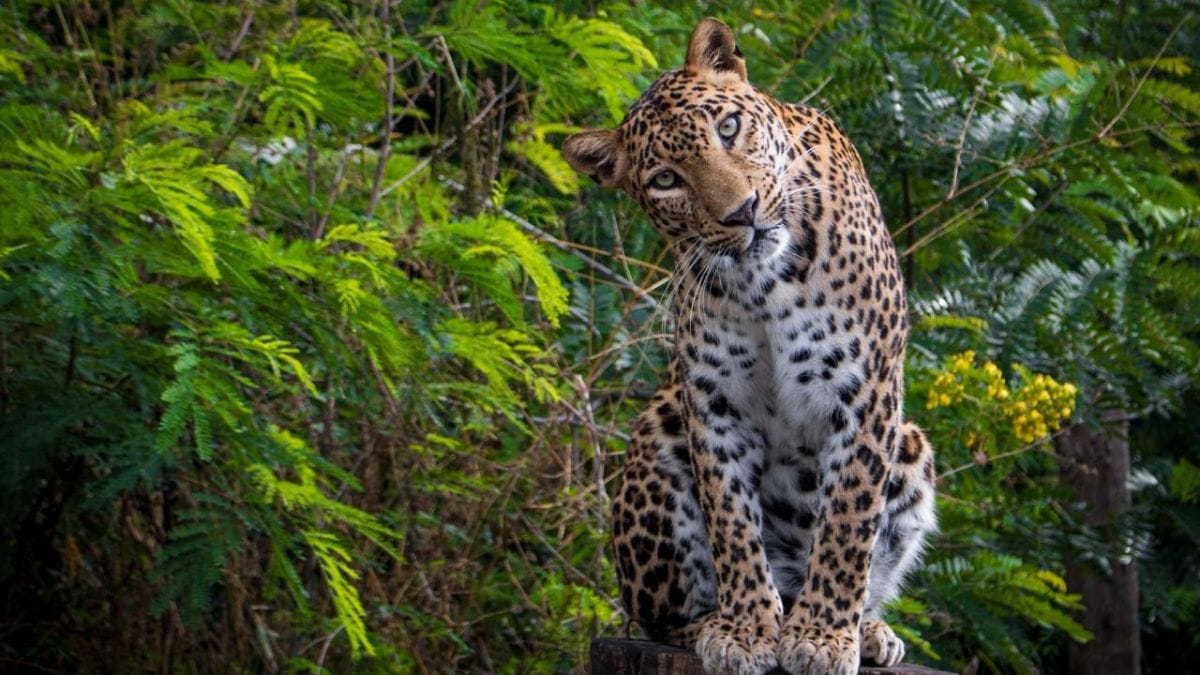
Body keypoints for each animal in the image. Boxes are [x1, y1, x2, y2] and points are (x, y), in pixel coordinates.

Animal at [562, 18, 937, 675]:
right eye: (665, 180)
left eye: (729, 128)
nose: (743, 212)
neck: (765, 280)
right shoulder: (715, 399)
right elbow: (731, 523)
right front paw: (745, 630)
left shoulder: (865, 390)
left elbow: (847, 522)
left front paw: (820, 637)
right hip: (661, 428)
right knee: (661, 618)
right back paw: (717, 623)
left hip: (911, 446)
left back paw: (863, 629)